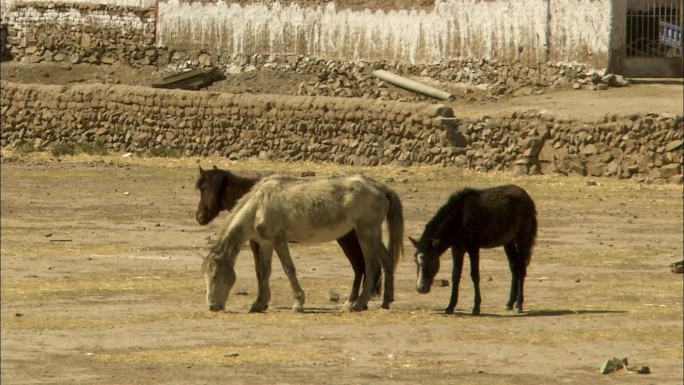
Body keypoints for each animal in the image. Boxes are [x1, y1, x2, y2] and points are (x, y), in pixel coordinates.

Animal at [200, 174, 404, 312]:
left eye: (215, 276)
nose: (212, 306)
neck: (259, 206)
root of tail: (379, 187)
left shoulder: (279, 242)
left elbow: (289, 269)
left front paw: (298, 303)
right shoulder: (265, 244)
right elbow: (263, 272)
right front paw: (259, 303)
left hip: (365, 233)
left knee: (371, 265)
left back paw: (358, 304)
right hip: (373, 235)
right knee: (386, 261)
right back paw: (385, 301)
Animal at [408, 184, 536, 316]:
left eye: (432, 260)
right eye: (415, 261)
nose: (420, 288)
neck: (459, 217)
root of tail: (527, 198)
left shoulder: (473, 248)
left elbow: (475, 275)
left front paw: (476, 308)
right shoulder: (457, 249)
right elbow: (455, 275)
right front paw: (450, 307)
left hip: (523, 239)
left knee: (521, 269)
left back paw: (519, 305)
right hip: (508, 242)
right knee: (514, 267)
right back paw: (509, 303)